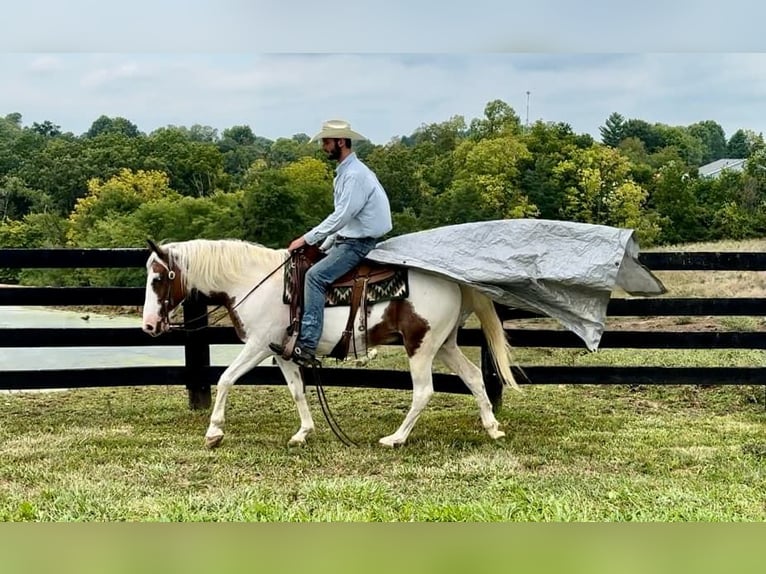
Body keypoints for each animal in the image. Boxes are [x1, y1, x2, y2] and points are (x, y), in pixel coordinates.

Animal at [140, 238, 520, 450]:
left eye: (157, 279)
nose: (148, 325)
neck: (252, 281)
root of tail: (453, 280)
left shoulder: (258, 345)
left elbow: (225, 379)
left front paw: (214, 432)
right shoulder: (282, 352)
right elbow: (297, 391)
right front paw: (303, 433)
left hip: (421, 346)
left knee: (424, 391)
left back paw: (395, 439)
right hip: (444, 344)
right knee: (473, 377)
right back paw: (493, 429)